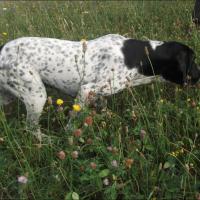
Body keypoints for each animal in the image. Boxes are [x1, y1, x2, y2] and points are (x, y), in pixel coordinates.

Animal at [0, 34, 199, 141]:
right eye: (193, 61)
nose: (199, 77)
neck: (142, 57)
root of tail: (2, 49)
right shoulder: (86, 90)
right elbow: (72, 123)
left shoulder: (99, 96)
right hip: (37, 96)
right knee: (31, 127)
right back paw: (49, 141)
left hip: (8, 97)